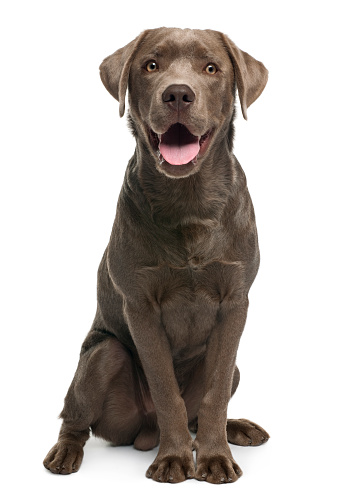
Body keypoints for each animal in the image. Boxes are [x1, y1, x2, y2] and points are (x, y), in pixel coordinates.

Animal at [43, 28, 268, 484]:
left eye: (211, 68)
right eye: (151, 65)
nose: (178, 94)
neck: (189, 201)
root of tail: (142, 432)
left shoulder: (235, 302)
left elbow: (215, 393)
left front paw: (214, 458)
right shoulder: (141, 306)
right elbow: (166, 390)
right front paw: (175, 458)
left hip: (234, 365)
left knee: (206, 406)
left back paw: (236, 429)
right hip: (102, 355)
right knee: (75, 419)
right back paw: (66, 453)